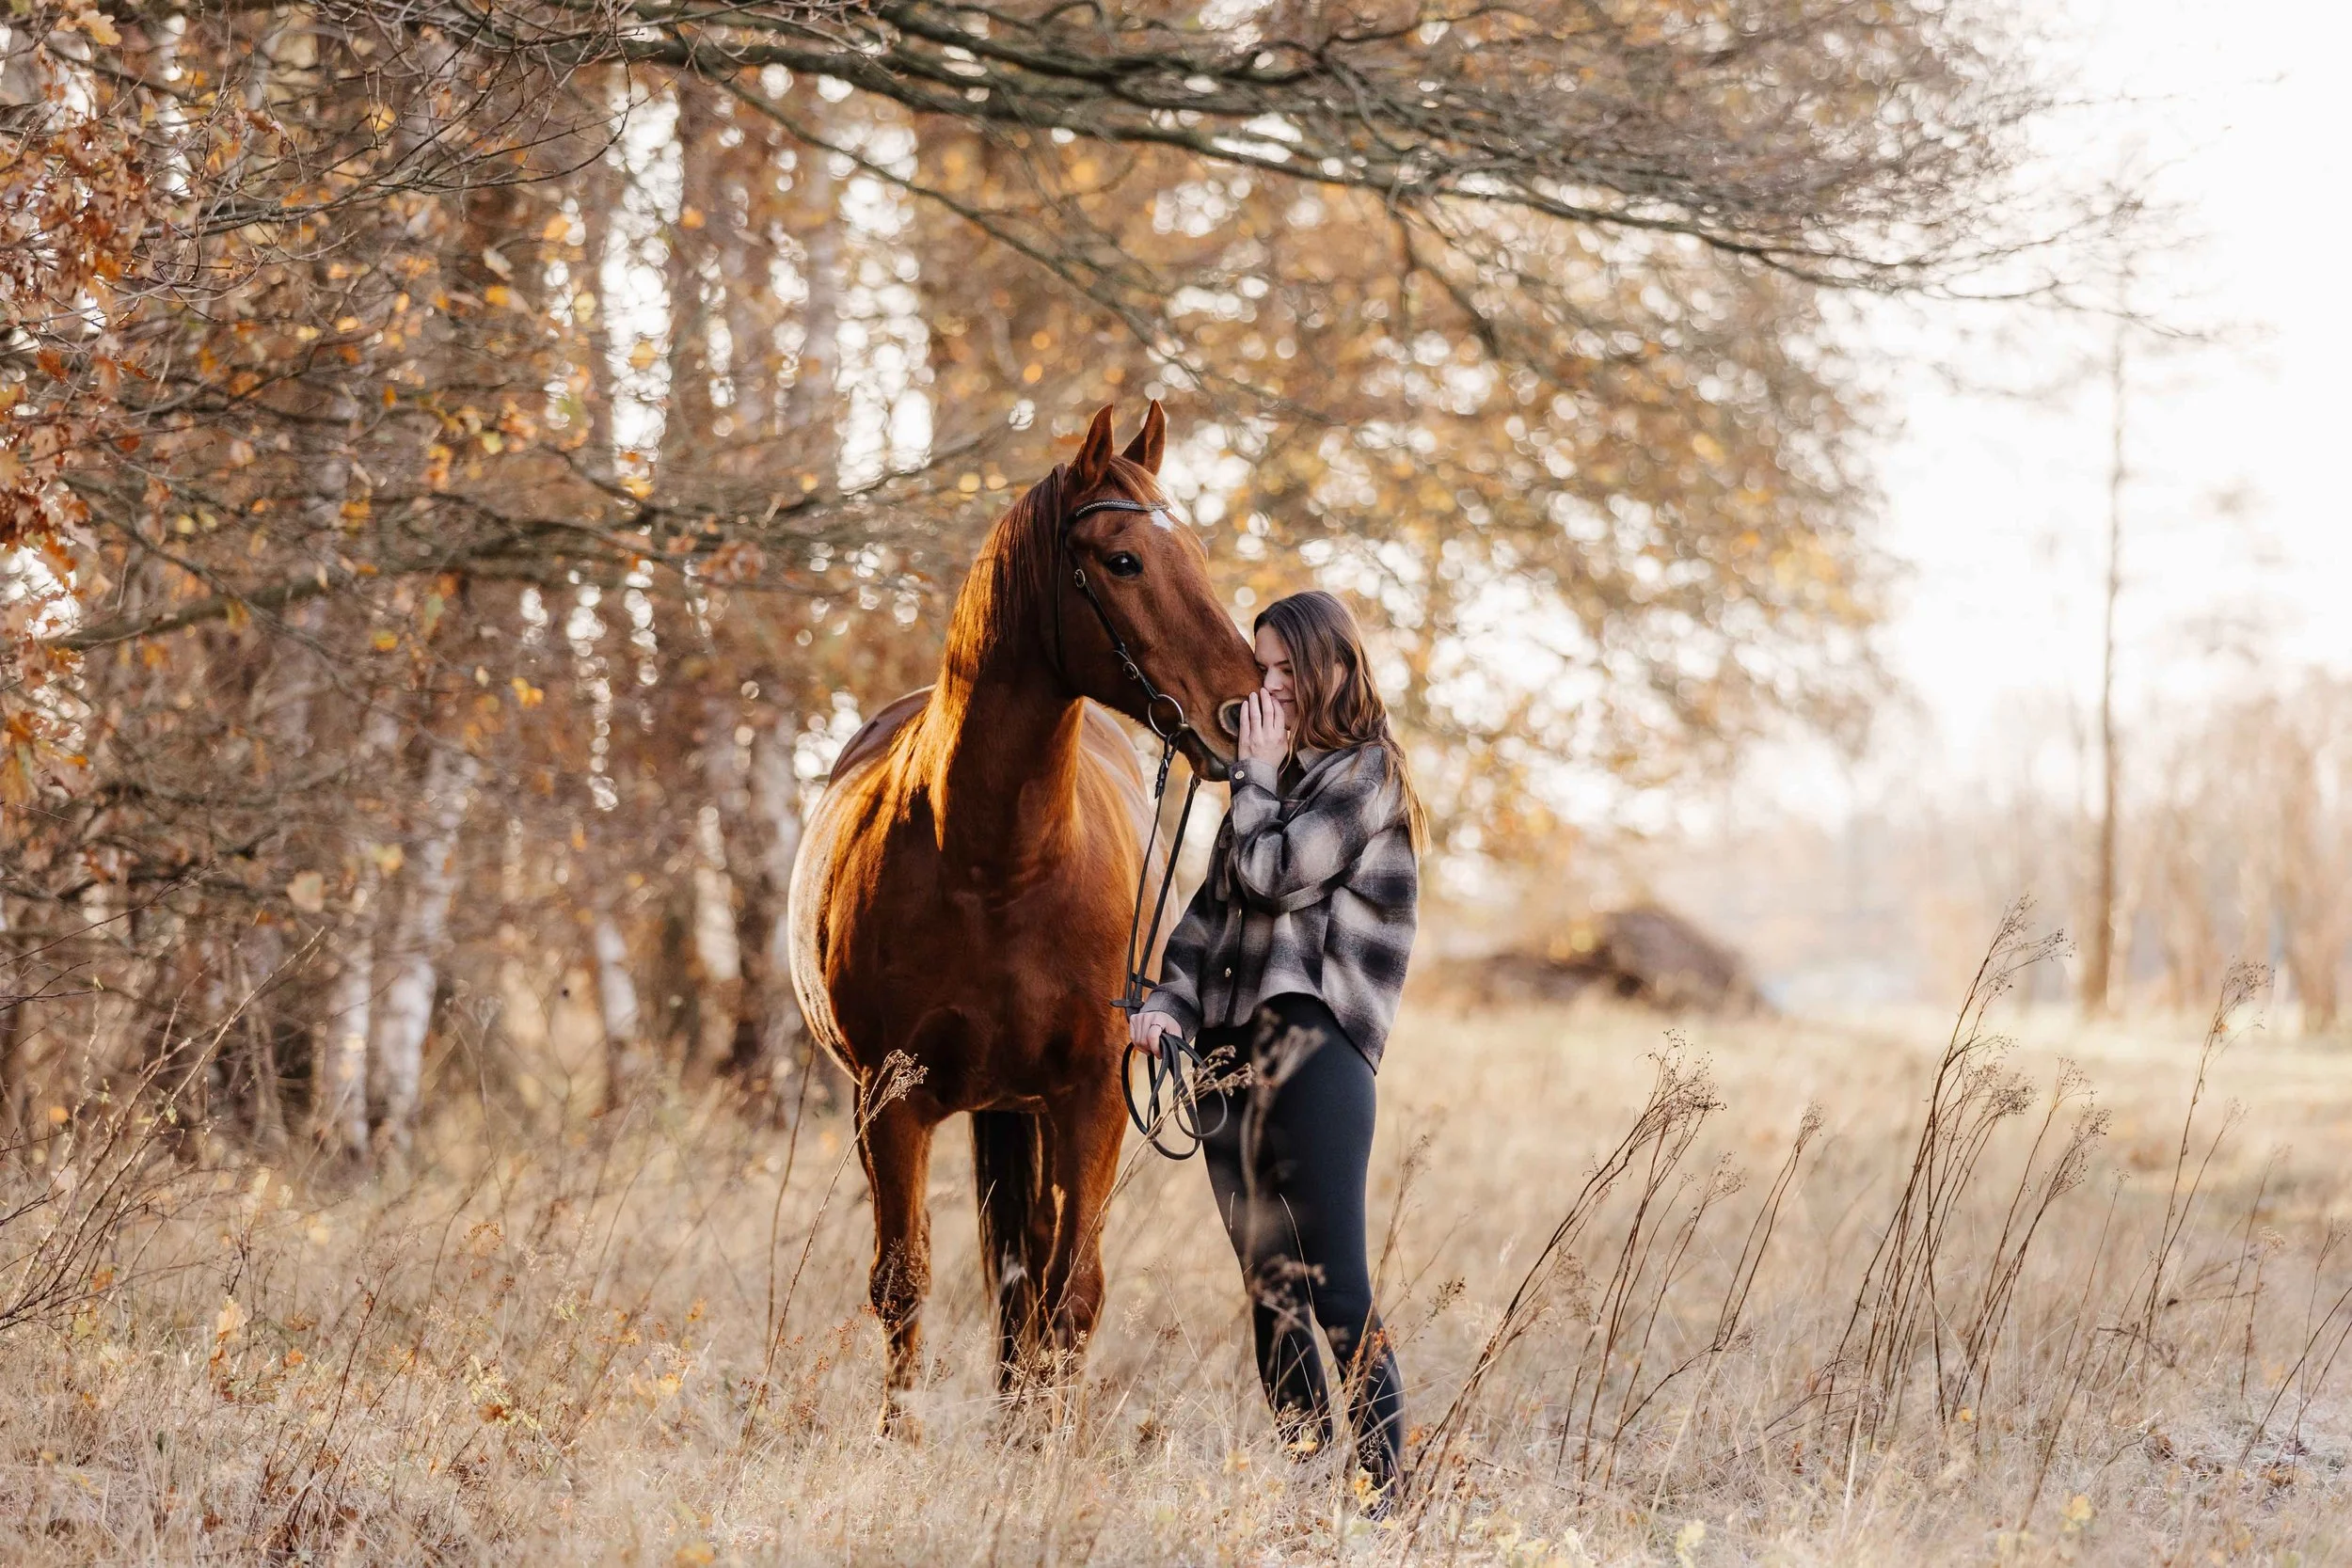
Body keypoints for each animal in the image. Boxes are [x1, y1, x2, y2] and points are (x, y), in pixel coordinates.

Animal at [788, 402, 1262, 1427]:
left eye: (1198, 551)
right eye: (1123, 560)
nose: (1241, 716)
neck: (996, 865)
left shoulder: (1093, 1098)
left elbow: (1071, 1293)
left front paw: (1044, 1446)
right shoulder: (890, 1101)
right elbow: (903, 1281)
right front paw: (899, 1437)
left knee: (1032, 1272)